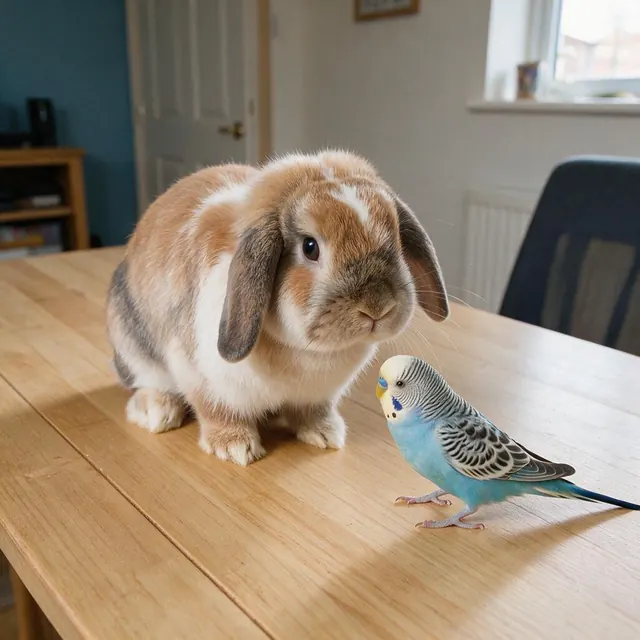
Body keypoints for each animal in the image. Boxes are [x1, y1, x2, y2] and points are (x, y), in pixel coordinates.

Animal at [106, 150, 449, 465]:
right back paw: (158, 413)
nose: (377, 307)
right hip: (134, 349)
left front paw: (326, 433)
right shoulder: (200, 374)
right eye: (310, 247)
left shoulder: (318, 395)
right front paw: (235, 448)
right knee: (146, 385)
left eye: (397, 239)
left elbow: (313, 411)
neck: (303, 352)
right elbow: (216, 411)